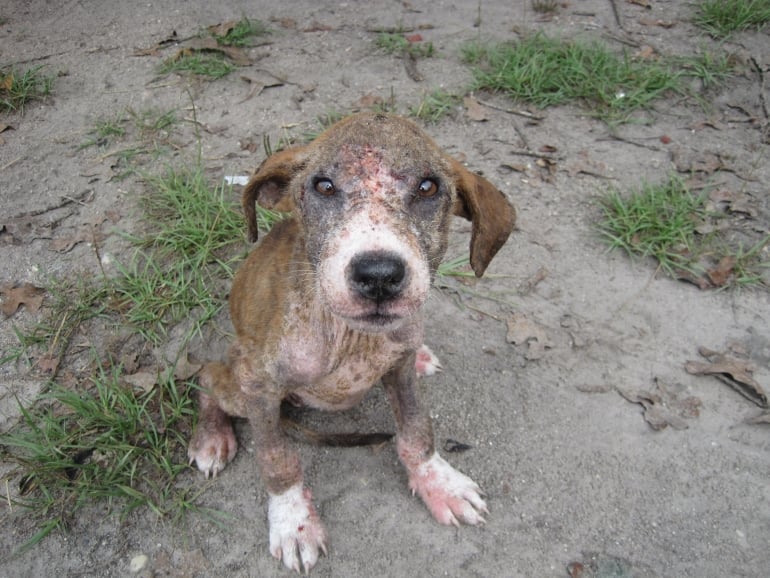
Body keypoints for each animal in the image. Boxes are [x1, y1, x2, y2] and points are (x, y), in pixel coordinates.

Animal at [186, 112, 512, 572]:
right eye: (324, 186)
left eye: (428, 187)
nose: (378, 275)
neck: (352, 338)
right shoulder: (261, 386)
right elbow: (277, 459)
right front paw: (293, 520)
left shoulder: (399, 368)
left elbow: (417, 431)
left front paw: (437, 481)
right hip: (237, 377)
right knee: (208, 376)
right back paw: (212, 437)